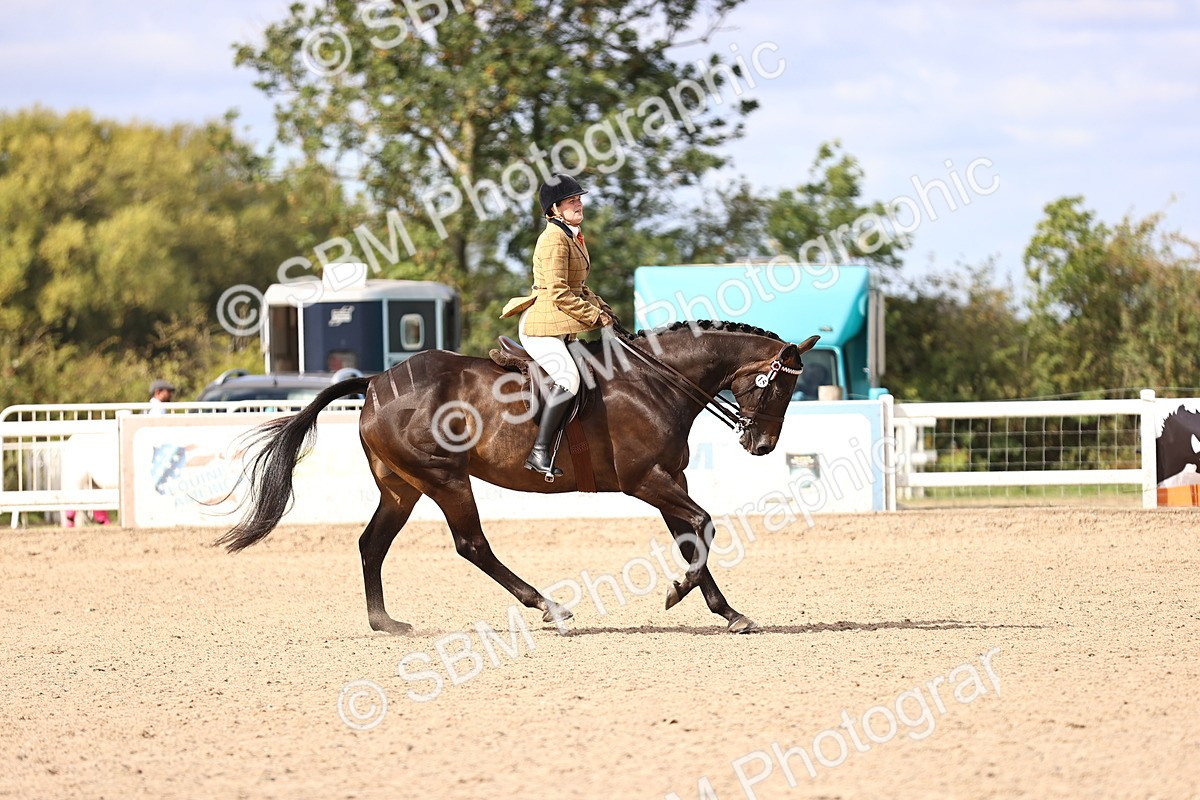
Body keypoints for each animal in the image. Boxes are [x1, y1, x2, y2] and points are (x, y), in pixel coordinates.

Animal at [218, 321, 820, 634]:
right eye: (779, 386)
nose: (762, 445)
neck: (656, 381)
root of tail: (376, 382)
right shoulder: (647, 480)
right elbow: (705, 524)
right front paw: (677, 592)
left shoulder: (668, 479)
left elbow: (694, 535)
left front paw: (728, 613)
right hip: (445, 480)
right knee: (471, 545)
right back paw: (548, 606)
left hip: (402, 487)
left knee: (372, 544)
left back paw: (385, 622)